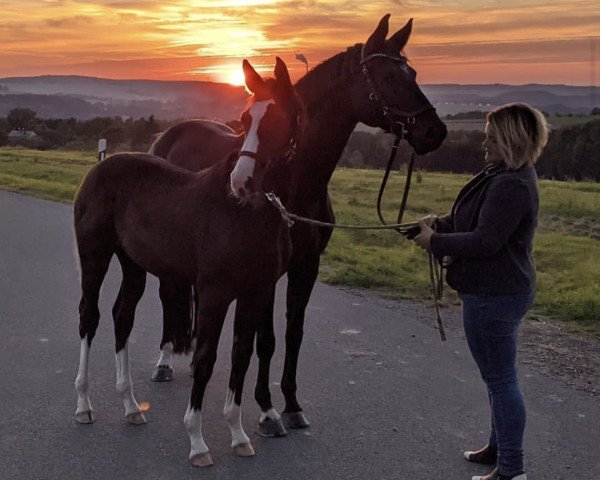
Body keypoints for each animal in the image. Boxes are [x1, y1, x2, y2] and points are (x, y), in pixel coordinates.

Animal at [73, 56, 302, 464]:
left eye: (277, 119)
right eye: (245, 118)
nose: (241, 183)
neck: (251, 215)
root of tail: (100, 167)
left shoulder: (255, 292)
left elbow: (241, 355)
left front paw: (238, 435)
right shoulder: (214, 293)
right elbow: (206, 359)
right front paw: (197, 441)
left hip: (133, 265)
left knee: (121, 316)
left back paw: (131, 407)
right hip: (95, 256)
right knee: (90, 316)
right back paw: (84, 405)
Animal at [150, 15, 448, 436]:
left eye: (413, 73)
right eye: (389, 76)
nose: (433, 131)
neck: (294, 185)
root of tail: (170, 134)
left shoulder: (306, 267)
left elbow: (294, 335)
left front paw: (291, 405)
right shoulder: (269, 272)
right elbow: (266, 339)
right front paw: (267, 410)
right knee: (167, 295)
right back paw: (163, 362)